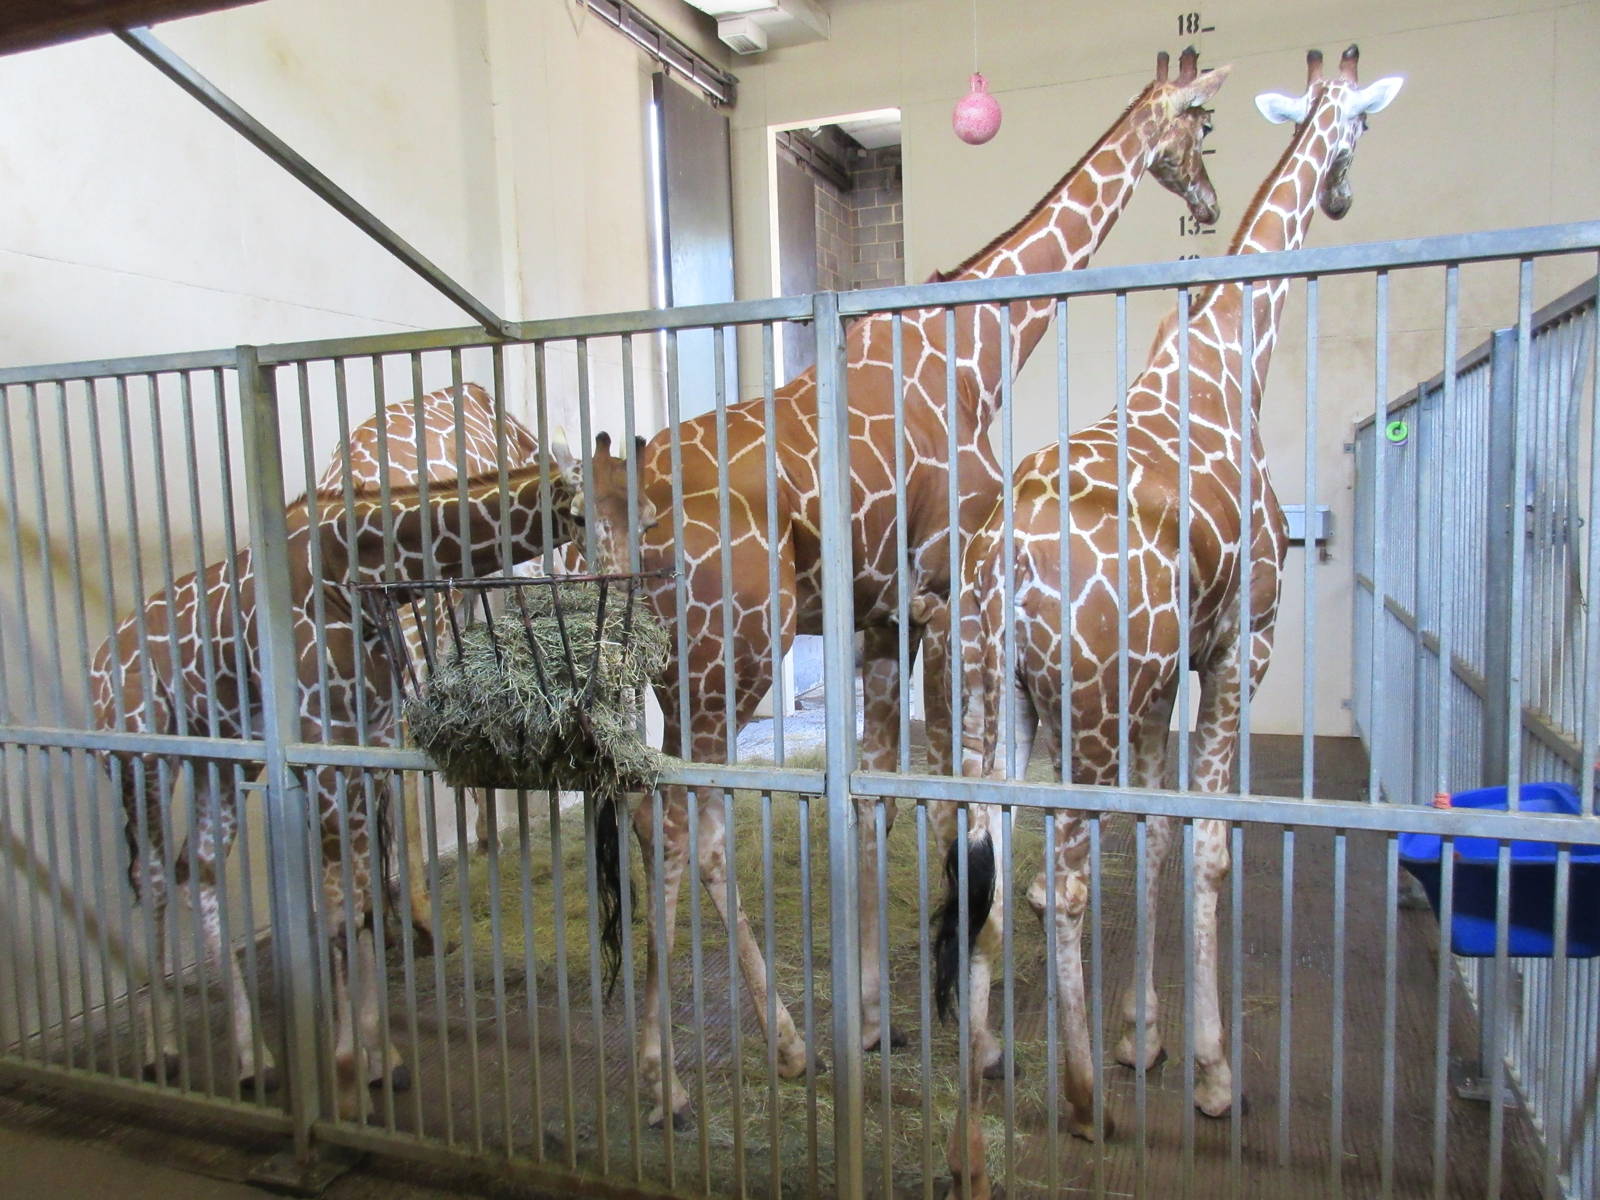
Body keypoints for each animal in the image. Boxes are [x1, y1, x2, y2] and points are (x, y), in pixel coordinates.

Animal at [91, 415, 646, 1115]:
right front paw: (351, 1073)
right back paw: (157, 1049)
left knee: (200, 870)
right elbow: (340, 906)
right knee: (151, 876)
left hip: (222, 762)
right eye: (575, 515)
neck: (356, 571)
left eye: (647, 512)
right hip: (139, 756)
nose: (624, 591)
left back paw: (252, 1061)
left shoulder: (368, 745)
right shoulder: (323, 746)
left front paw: (383, 1058)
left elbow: (358, 893)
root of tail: (100, 658)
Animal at [629, 49, 1231, 1126]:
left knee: (652, 814)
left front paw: (875, 1018)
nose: (1205, 199)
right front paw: (967, 1025)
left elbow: (876, 792)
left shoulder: (879, 614)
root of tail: (637, 487)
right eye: (1196, 124)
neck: (978, 347)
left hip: (679, 666)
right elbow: (953, 798)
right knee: (684, 828)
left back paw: (733, 1054)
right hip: (733, 650)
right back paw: (703, 1071)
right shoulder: (946, 596)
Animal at [932, 47, 1403, 1199]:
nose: (1341, 194)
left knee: (986, 860)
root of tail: (1000, 565)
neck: (1230, 356)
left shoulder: (1162, 678)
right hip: (1083, 709)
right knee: (1060, 877)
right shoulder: (1242, 641)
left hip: (993, 700)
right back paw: (1080, 1102)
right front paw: (1211, 1072)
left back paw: (977, 1105)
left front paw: (1143, 1032)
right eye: (1362, 128)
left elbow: (1153, 835)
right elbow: (1209, 843)